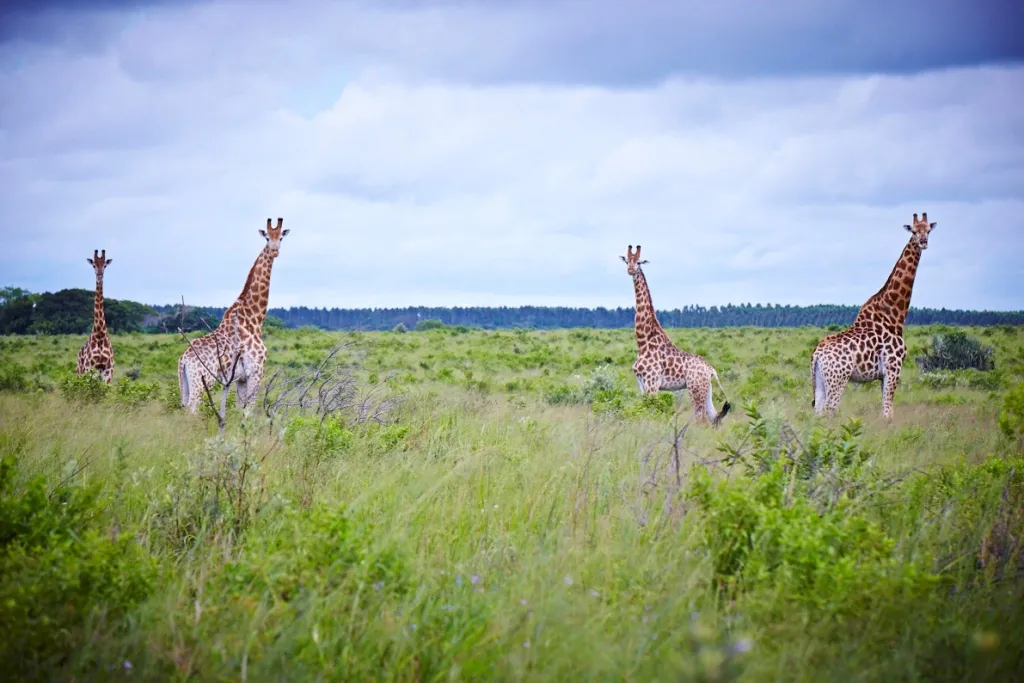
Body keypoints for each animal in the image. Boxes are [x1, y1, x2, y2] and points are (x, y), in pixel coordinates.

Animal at [77, 249, 115, 384]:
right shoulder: (90, 368)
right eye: (94, 265)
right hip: (80, 372)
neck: (100, 334)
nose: (99, 275)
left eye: (105, 265)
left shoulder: (108, 371)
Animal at [178, 218, 289, 414]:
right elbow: (249, 410)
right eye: (267, 238)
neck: (254, 319)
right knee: (192, 408)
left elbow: (239, 410)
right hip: (202, 380)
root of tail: (183, 359)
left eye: (281, 237)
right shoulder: (256, 371)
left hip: (185, 383)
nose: (275, 250)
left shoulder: (241, 378)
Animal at [622, 245, 731, 426]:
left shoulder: (652, 383)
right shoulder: (641, 384)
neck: (643, 341)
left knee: (701, 418)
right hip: (706, 389)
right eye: (627, 260)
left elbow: (652, 412)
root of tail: (711, 369)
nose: (630, 270)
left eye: (639, 262)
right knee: (714, 418)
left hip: (695, 388)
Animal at [811, 212, 937, 419]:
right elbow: (887, 412)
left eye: (928, 230)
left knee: (818, 411)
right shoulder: (894, 367)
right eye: (913, 231)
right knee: (830, 410)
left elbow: (885, 410)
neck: (895, 314)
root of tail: (817, 354)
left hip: (820, 382)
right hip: (838, 379)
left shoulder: (883, 375)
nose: (924, 242)